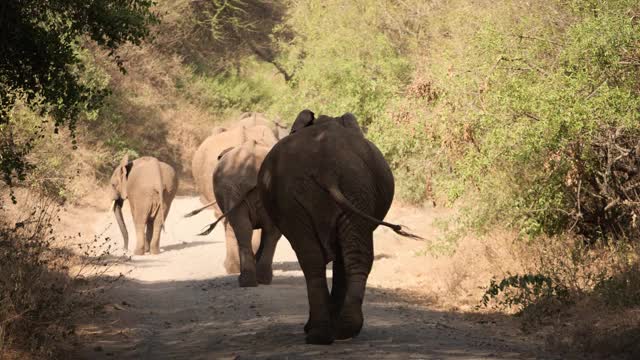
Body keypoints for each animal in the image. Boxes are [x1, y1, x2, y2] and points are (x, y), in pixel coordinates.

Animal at [255, 110, 420, 346]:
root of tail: (328, 170)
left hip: (340, 189)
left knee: (313, 259)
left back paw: (321, 334)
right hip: (353, 187)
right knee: (349, 255)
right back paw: (340, 331)